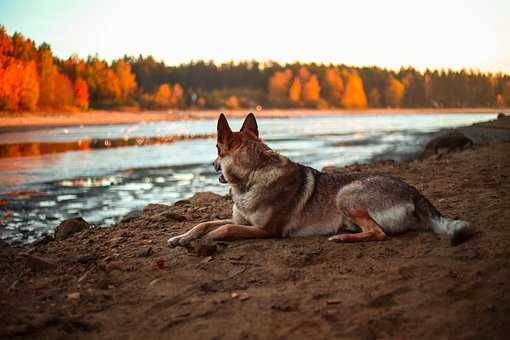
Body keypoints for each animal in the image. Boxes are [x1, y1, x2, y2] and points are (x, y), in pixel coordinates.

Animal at [169, 113, 472, 247]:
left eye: (216, 150)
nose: (212, 164)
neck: (252, 176)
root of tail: (413, 191)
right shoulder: (240, 220)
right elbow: (204, 223)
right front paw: (180, 237)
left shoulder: (267, 230)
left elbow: (224, 229)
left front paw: (204, 240)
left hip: (346, 194)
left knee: (378, 233)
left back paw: (341, 238)